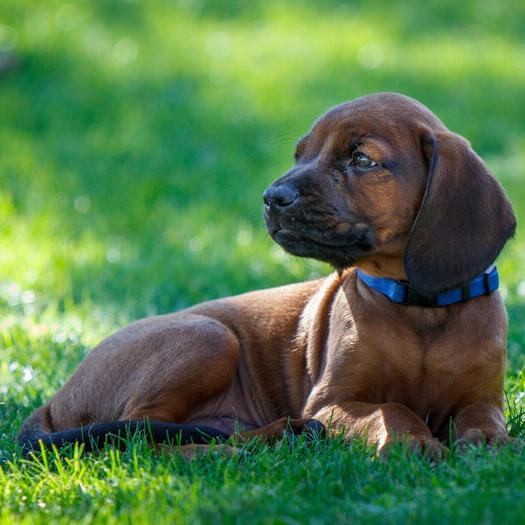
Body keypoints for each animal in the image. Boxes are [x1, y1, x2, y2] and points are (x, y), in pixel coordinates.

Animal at [19, 93, 516, 454]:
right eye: (300, 155)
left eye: (362, 160)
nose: (271, 198)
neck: (418, 306)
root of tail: (54, 399)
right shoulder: (330, 401)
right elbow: (391, 409)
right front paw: (414, 443)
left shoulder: (482, 396)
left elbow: (481, 418)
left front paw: (491, 443)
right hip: (208, 337)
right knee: (138, 433)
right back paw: (242, 449)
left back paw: (278, 433)